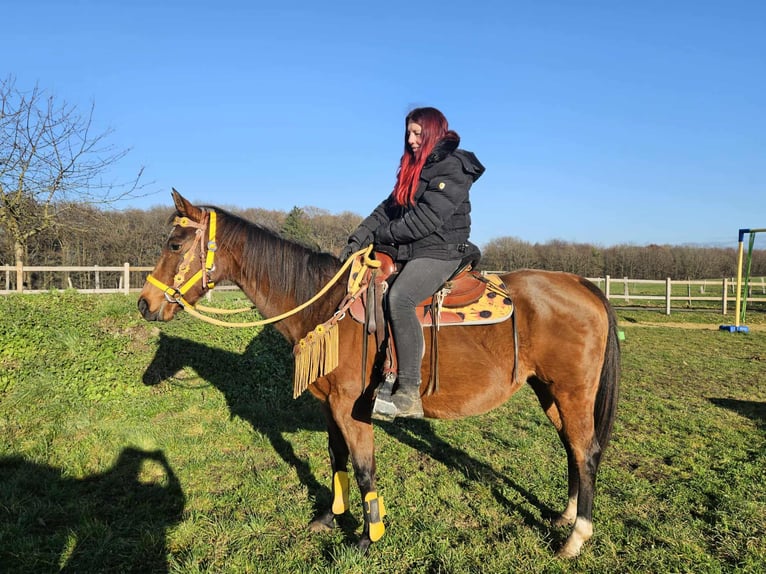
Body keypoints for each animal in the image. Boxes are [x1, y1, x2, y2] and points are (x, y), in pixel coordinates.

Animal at [137, 190, 620, 558]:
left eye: (175, 245)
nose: (145, 303)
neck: (324, 306)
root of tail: (585, 286)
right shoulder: (329, 405)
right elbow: (337, 459)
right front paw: (329, 517)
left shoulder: (352, 407)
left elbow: (365, 469)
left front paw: (368, 538)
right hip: (549, 391)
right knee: (572, 449)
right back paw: (564, 516)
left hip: (573, 392)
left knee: (586, 452)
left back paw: (575, 538)